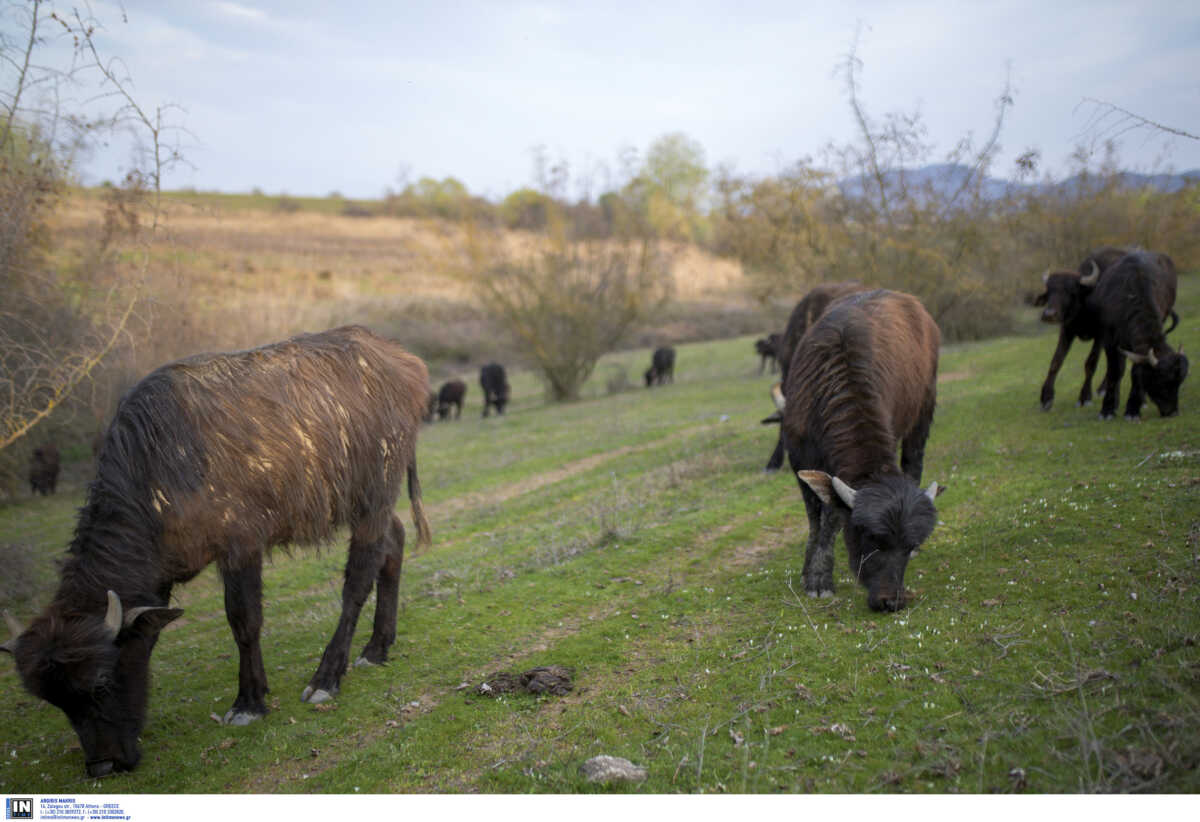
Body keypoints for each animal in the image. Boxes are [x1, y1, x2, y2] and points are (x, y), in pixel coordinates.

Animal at [0, 324, 432, 772]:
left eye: (101, 683)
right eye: (57, 702)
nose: (103, 765)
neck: (161, 465)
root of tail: (401, 359)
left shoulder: (241, 547)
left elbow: (244, 621)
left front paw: (248, 702)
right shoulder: (162, 574)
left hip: (374, 494)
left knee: (358, 580)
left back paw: (327, 676)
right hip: (363, 503)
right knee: (394, 543)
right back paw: (377, 646)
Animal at [777, 288, 945, 609]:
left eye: (909, 545)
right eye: (871, 539)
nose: (891, 601)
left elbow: (831, 517)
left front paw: (820, 574)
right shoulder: (798, 459)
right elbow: (817, 517)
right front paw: (814, 576)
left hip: (924, 410)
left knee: (913, 462)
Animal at [1094, 248, 1185, 417]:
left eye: (1178, 384)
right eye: (1161, 383)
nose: (1172, 412)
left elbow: (1136, 371)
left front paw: (1133, 408)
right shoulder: (1109, 339)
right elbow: (1115, 371)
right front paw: (1107, 409)